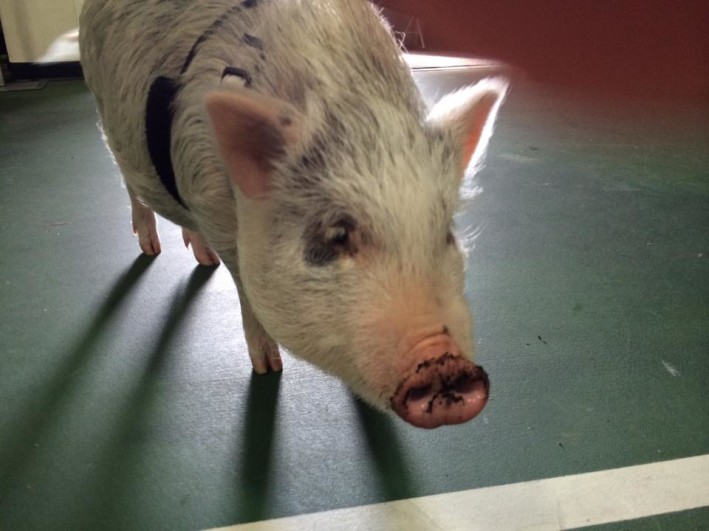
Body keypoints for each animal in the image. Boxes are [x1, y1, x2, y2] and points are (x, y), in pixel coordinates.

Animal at [79, 0, 507, 428]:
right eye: (336, 235)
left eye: (447, 233)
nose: (443, 361)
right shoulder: (212, 204)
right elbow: (244, 289)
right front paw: (269, 369)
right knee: (129, 184)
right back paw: (152, 248)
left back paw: (202, 257)